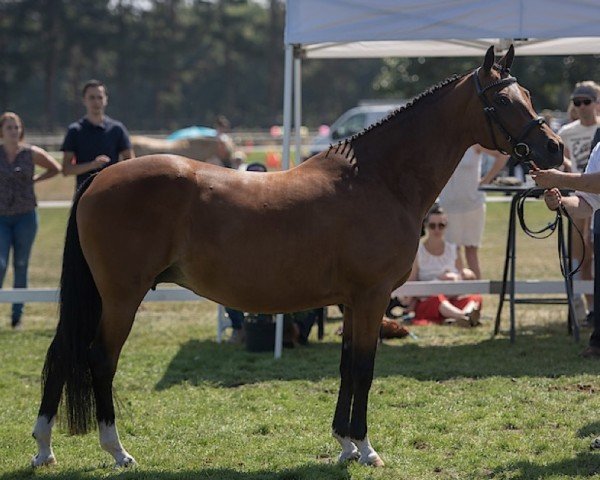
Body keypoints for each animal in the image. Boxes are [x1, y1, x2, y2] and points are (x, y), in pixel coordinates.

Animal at [30, 46, 564, 468]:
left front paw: (345, 444)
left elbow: (347, 366)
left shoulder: (352, 302)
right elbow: (364, 368)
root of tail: (99, 177)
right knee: (99, 358)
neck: (377, 179)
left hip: (99, 297)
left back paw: (43, 449)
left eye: (528, 95)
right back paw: (117, 450)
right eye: (502, 100)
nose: (554, 148)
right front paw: (366, 449)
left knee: (63, 353)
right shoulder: (371, 298)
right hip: (122, 297)